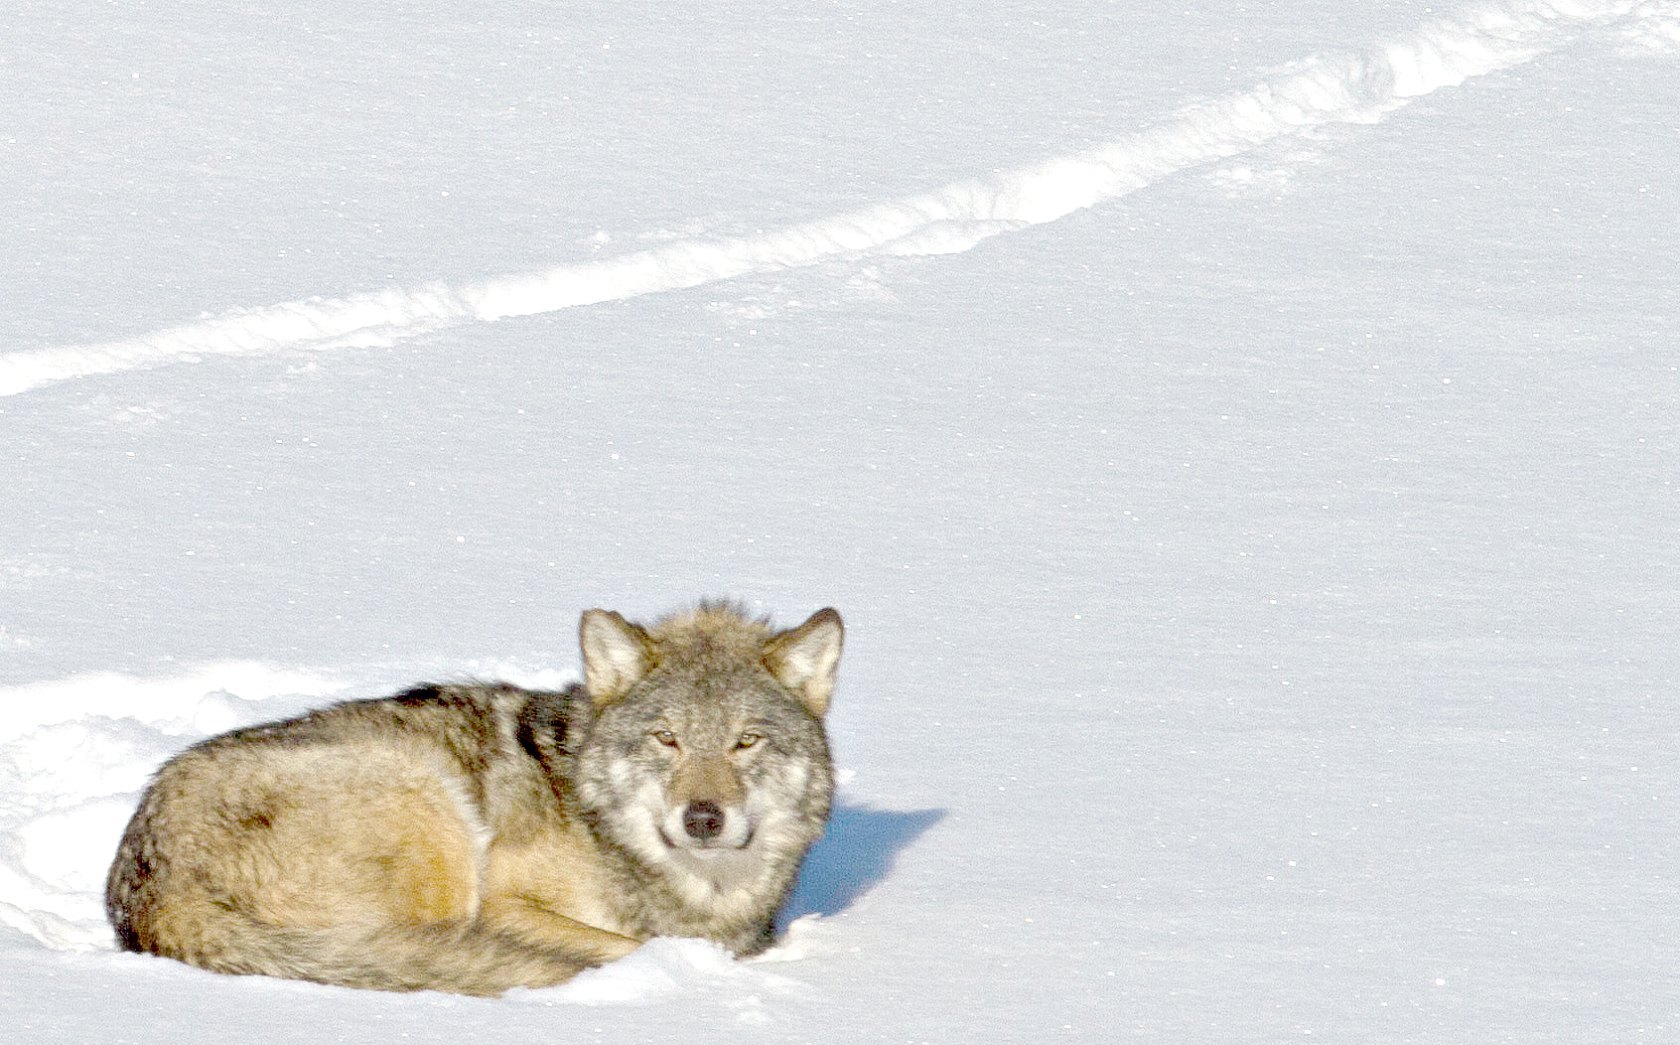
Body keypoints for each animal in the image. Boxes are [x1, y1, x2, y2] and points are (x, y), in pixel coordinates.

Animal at [105, 602, 842, 995]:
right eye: (668, 739)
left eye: (746, 742)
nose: (704, 819)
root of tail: (149, 888)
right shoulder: (505, 902)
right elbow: (626, 943)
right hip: (428, 801)